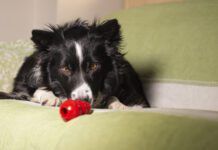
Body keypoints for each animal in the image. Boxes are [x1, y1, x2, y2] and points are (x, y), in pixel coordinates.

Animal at [0, 19, 149, 109]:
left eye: (93, 66)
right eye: (65, 69)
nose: (82, 101)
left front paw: (119, 105)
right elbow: (32, 89)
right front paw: (50, 97)